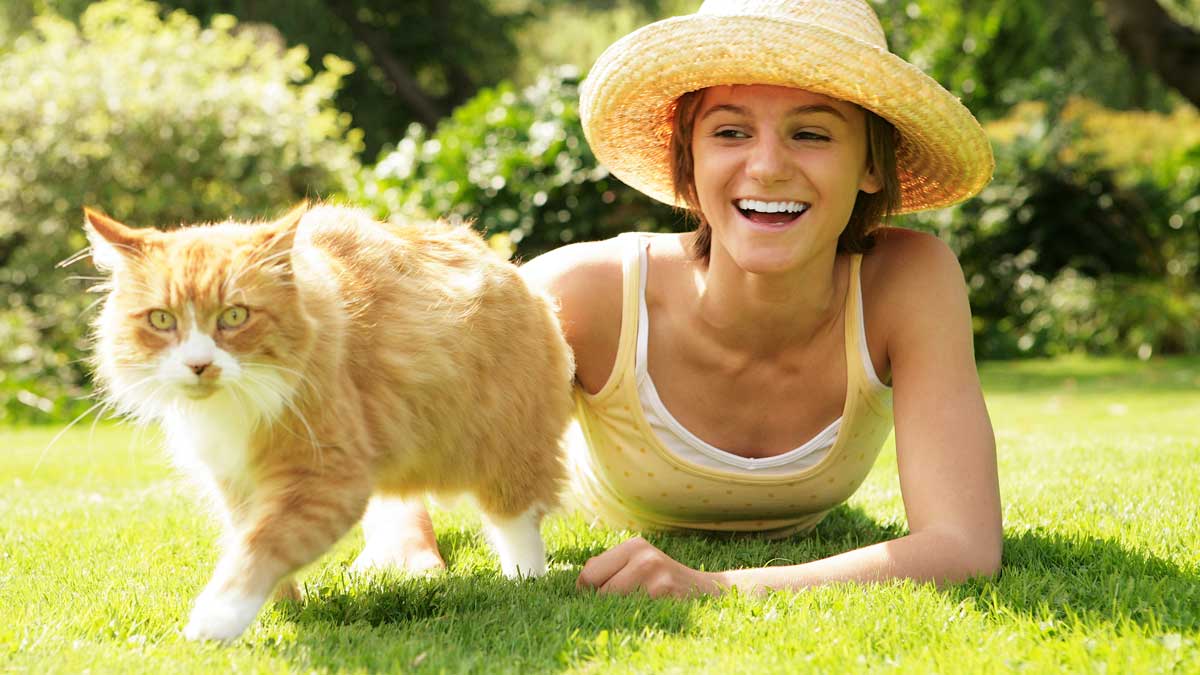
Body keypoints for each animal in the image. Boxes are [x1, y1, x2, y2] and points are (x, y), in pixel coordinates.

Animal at [82, 201, 573, 638]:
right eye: (162, 320)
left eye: (235, 315)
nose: (199, 364)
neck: (232, 406)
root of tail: (501, 262)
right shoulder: (237, 482)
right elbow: (249, 538)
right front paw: (282, 606)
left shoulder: (327, 477)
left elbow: (262, 544)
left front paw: (216, 619)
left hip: (508, 442)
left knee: (516, 520)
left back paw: (524, 579)